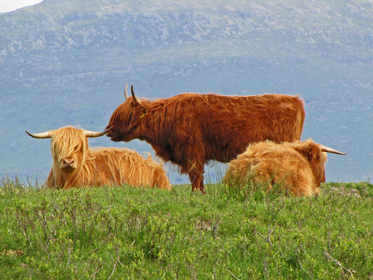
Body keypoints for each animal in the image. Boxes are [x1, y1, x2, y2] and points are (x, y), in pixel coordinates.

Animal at [104, 85, 306, 194]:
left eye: (126, 115)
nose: (108, 130)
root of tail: (296, 100)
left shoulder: (192, 153)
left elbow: (196, 176)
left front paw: (197, 193)